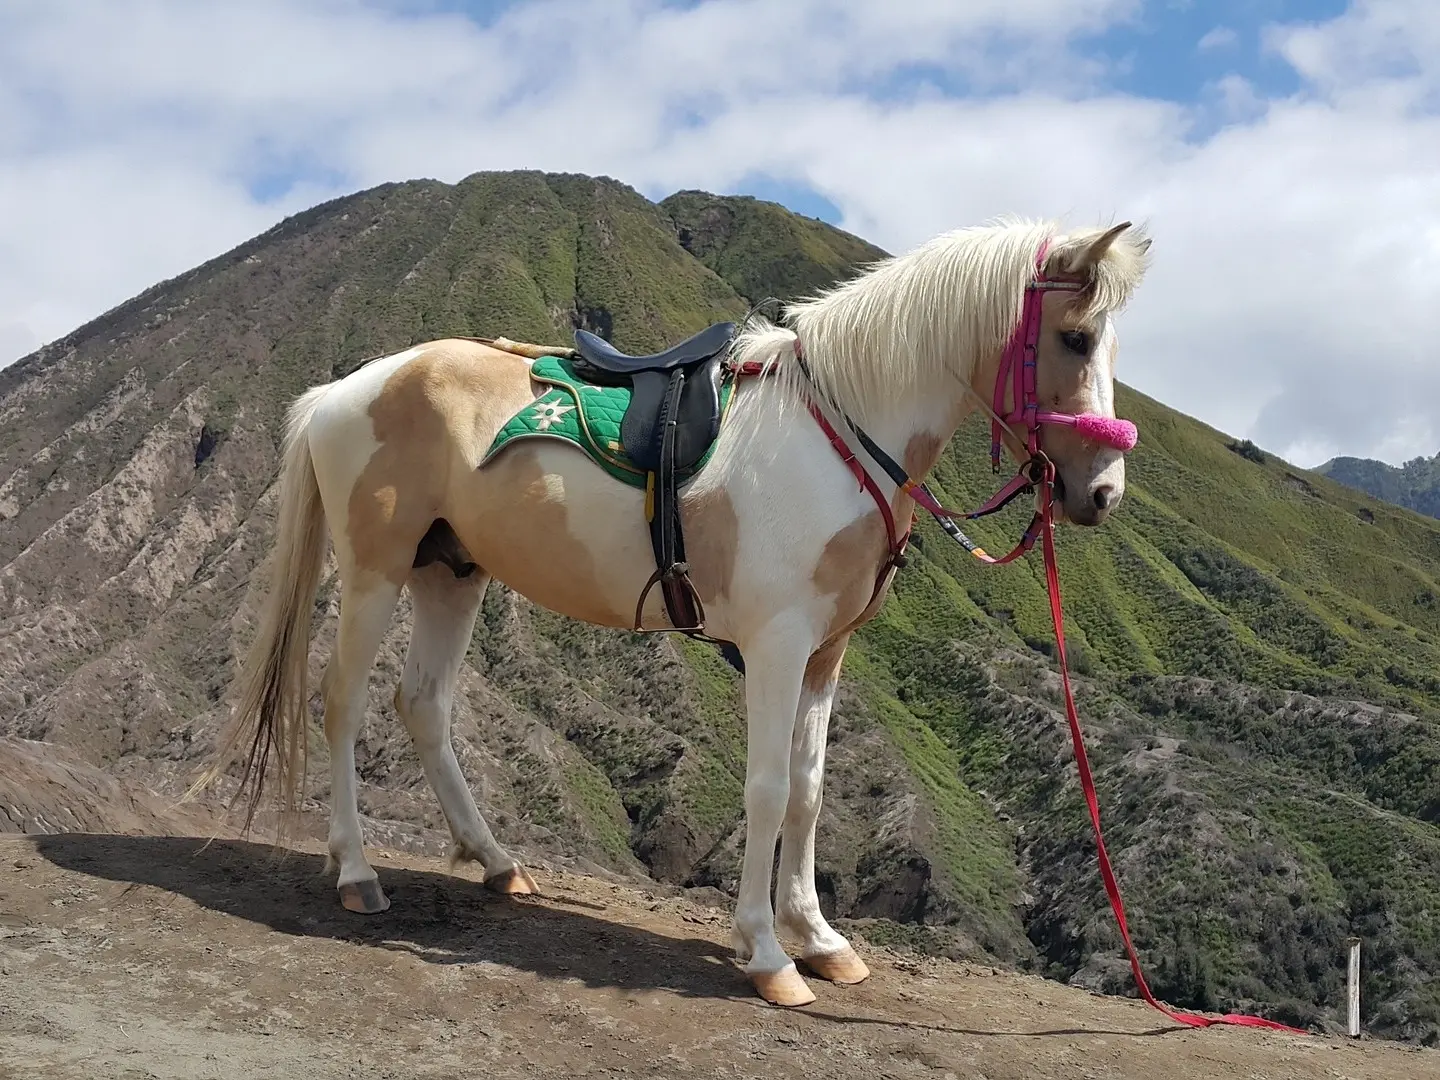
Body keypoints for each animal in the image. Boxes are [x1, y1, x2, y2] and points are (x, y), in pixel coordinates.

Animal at [191, 216, 1152, 1013]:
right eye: (1073, 336)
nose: (1103, 493)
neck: (838, 431)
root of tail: (346, 389)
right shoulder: (775, 645)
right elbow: (766, 790)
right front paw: (767, 953)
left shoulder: (827, 653)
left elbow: (809, 790)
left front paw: (821, 939)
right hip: (374, 570)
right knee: (344, 704)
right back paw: (355, 871)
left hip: (451, 574)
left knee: (422, 706)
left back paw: (497, 865)